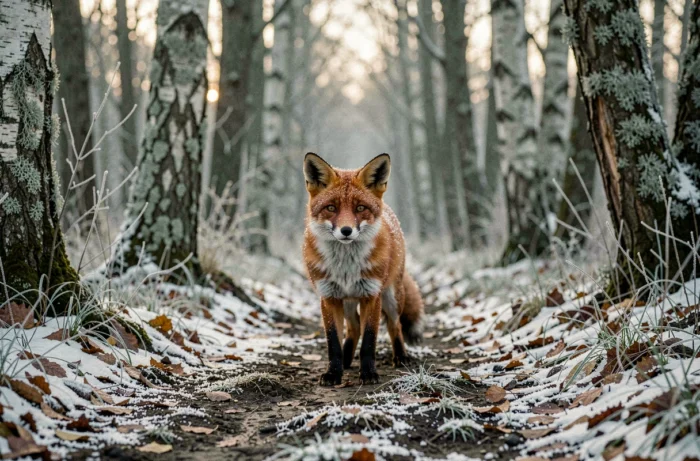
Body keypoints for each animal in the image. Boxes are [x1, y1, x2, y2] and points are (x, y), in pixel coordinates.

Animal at [302, 152, 424, 386]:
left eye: (360, 208)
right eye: (331, 208)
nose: (346, 230)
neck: (346, 265)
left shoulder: (371, 295)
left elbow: (369, 340)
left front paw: (368, 373)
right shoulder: (328, 297)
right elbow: (333, 342)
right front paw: (334, 373)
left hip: (391, 297)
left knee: (395, 325)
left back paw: (401, 357)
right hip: (348, 299)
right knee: (354, 327)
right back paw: (347, 360)